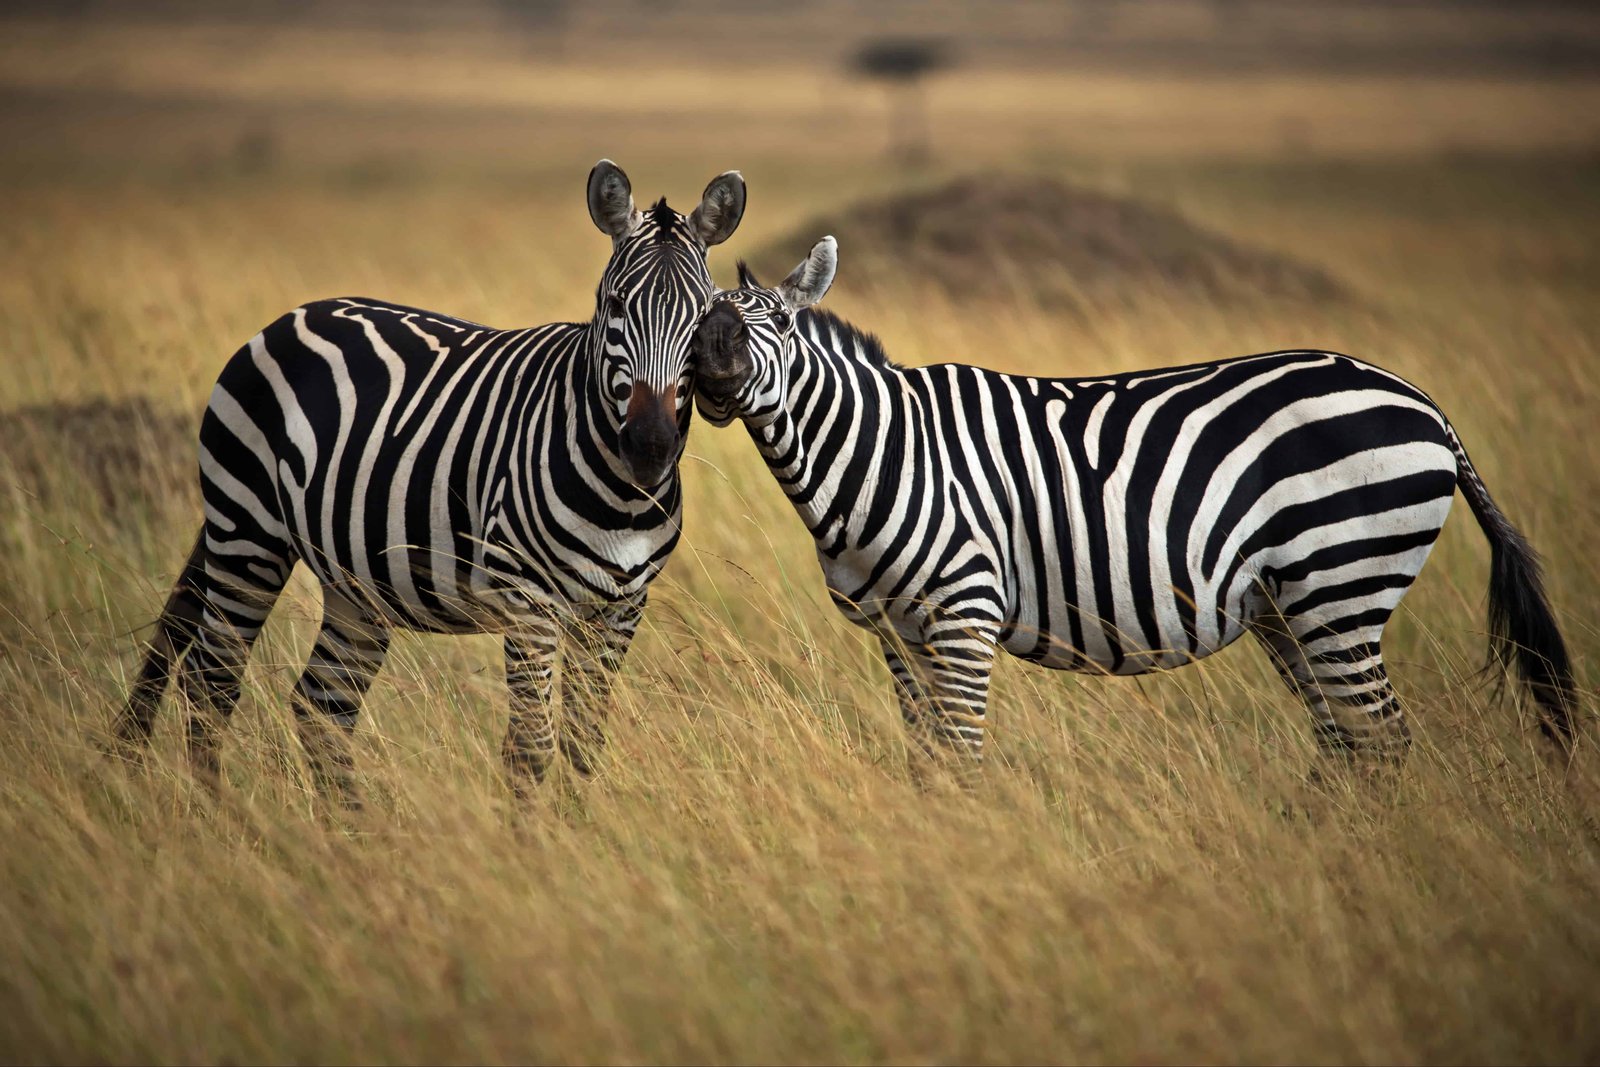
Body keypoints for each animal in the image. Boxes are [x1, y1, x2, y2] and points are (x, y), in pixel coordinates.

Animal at [110, 160, 747, 802]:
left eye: (703, 318)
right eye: (615, 305)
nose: (649, 445)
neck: (622, 500)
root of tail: (290, 317)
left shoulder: (622, 608)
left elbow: (581, 746)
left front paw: (580, 826)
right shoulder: (529, 599)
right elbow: (531, 748)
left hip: (354, 583)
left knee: (321, 706)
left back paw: (355, 828)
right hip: (247, 530)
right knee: (210, 682)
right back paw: (220, 814)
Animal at [691, 235, 1579, 775]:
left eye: (777, 324)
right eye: (702, 316)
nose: (712, 357)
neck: (881, 450)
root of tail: (1427, 405)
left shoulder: (964, 611)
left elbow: (963, 757)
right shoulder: (899, 631)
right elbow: (928, 762)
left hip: (1340, 583)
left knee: (1382, 738)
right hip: (1294, 607)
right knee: (1347, 740)